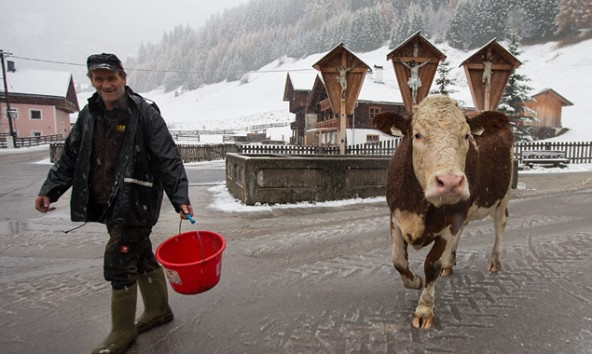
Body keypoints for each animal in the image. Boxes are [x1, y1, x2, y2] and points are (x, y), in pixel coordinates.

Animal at [374, 94, 512, 330]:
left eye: (466, 135)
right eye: (417, 135)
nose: (450, 182)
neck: (419, 206)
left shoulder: (451, 223)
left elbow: (432, 265)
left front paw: (424, 309)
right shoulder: (396, 217)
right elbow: (398, 261)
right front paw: (415, 281)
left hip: (502, 195)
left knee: (500, 225)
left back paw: (494, 260)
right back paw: (450, 263)